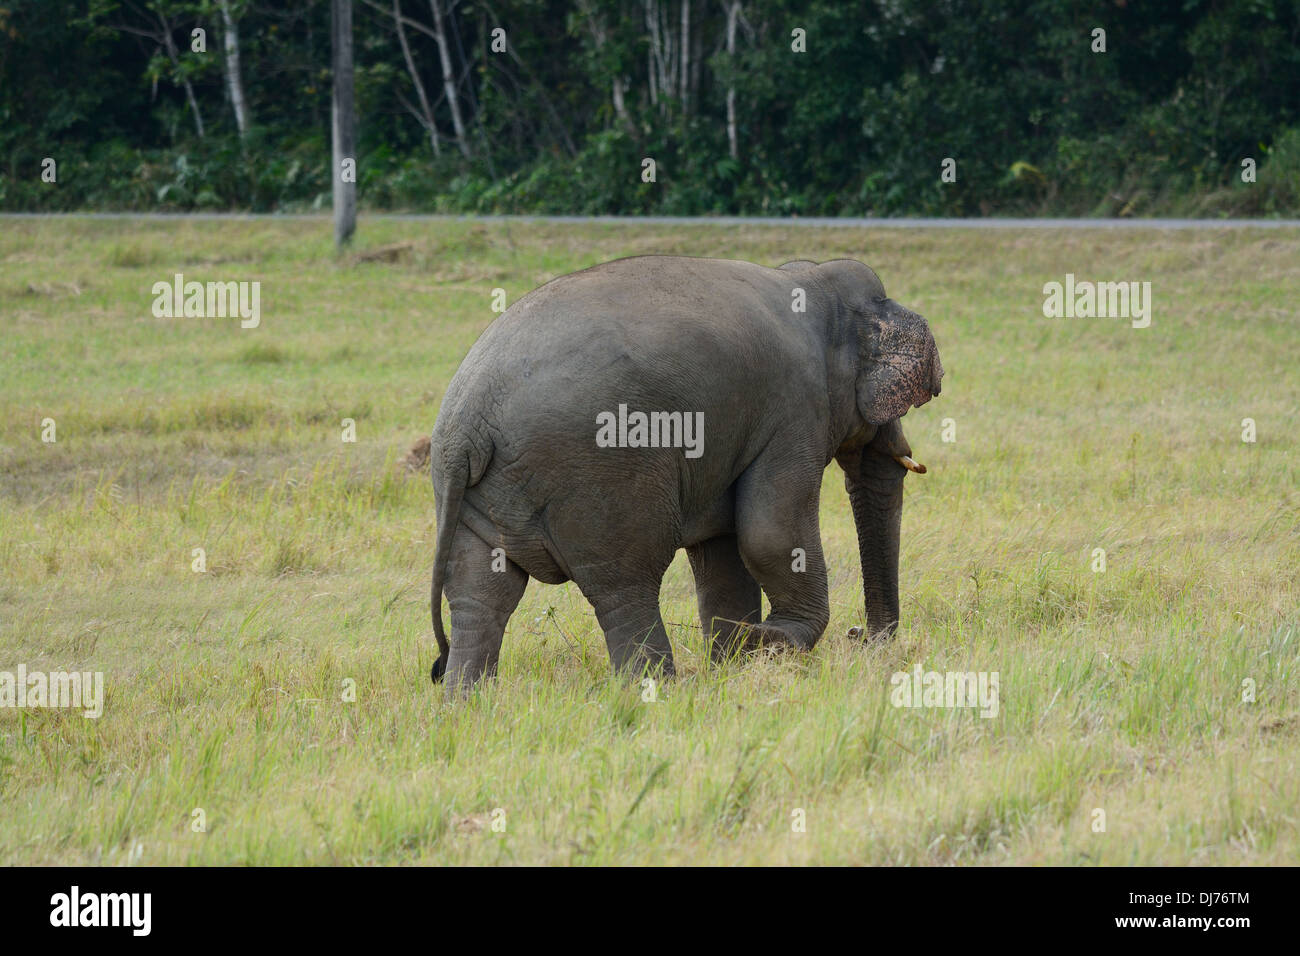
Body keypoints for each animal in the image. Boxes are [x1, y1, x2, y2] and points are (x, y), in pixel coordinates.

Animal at [426, 254, 946, 691]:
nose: (861, 636)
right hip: (598, 481)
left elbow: (724, 551)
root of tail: (468, 422)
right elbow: (770, 534)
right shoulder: (795, 411)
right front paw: (769, 642)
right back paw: (654, 691)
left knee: (480, 595)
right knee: (626, 584)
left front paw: (737, 659)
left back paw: (468, 702)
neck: (812, 280)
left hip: (479, 495)